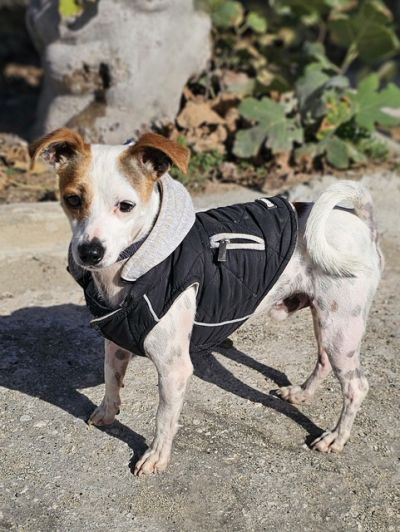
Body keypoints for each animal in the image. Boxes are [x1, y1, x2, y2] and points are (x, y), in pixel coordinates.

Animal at [30, 128, 383, 476]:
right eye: (72, 199)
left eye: (126, 206)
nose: (89, 252)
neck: (135, 264)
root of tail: (360, 220)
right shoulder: (115, 341)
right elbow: (111, 379)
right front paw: (107, 412)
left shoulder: (174, 369)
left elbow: (163, 419)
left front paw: (156, 456)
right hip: (327, 321)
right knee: (323, 360)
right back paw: (302, 393)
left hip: (341, 329)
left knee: (356, 386)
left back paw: (336, 437)